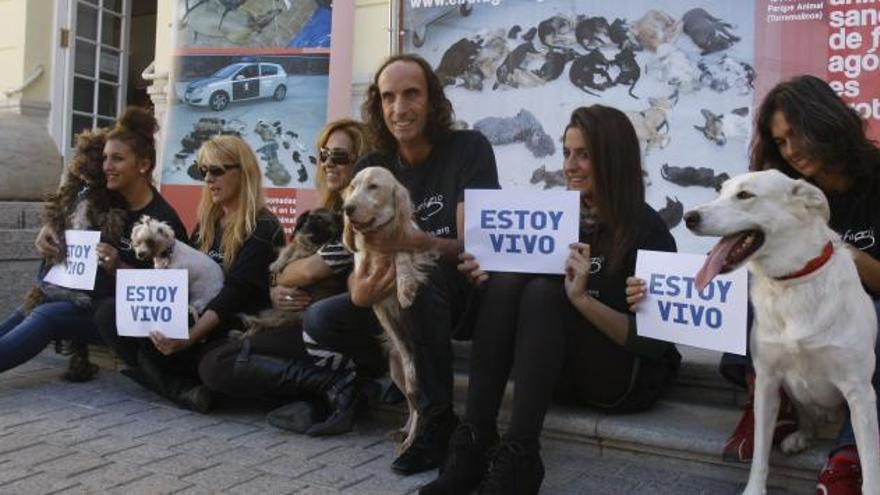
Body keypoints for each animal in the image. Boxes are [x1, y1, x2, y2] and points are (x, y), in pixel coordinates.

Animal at [344, 167, 440, 454]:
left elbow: (402, 255)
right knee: (412, 405)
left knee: (417, 404)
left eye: (374, 187)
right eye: (352, 186)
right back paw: (406, 433)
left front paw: (405, 287)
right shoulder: (364, 264)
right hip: (399, 372)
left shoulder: (411, 244)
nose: (347, 208)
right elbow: (365, 262)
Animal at [688, 171, 880, 495]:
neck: (791, 283)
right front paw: (754, 489)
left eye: (744, 195)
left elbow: (870, 467)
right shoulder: (767, 382)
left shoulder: (859, 391)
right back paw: (800, 436)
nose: (689, 217)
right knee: (808, 420)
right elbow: (760, 455)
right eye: (719, 191)